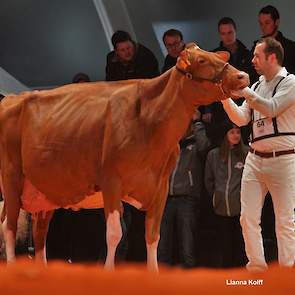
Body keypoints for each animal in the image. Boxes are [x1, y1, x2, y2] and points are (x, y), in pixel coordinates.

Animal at [0, 42, 250, 272]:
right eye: (201, 61)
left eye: (217, 57)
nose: (243, 75)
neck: (149, 120)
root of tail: (11, 98)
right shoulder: (111, 181)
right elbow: (114, 234)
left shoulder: (160, 187)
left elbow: (153, 235)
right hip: (11, 178)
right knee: (9, 226)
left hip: (44, 190)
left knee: (39, 231)